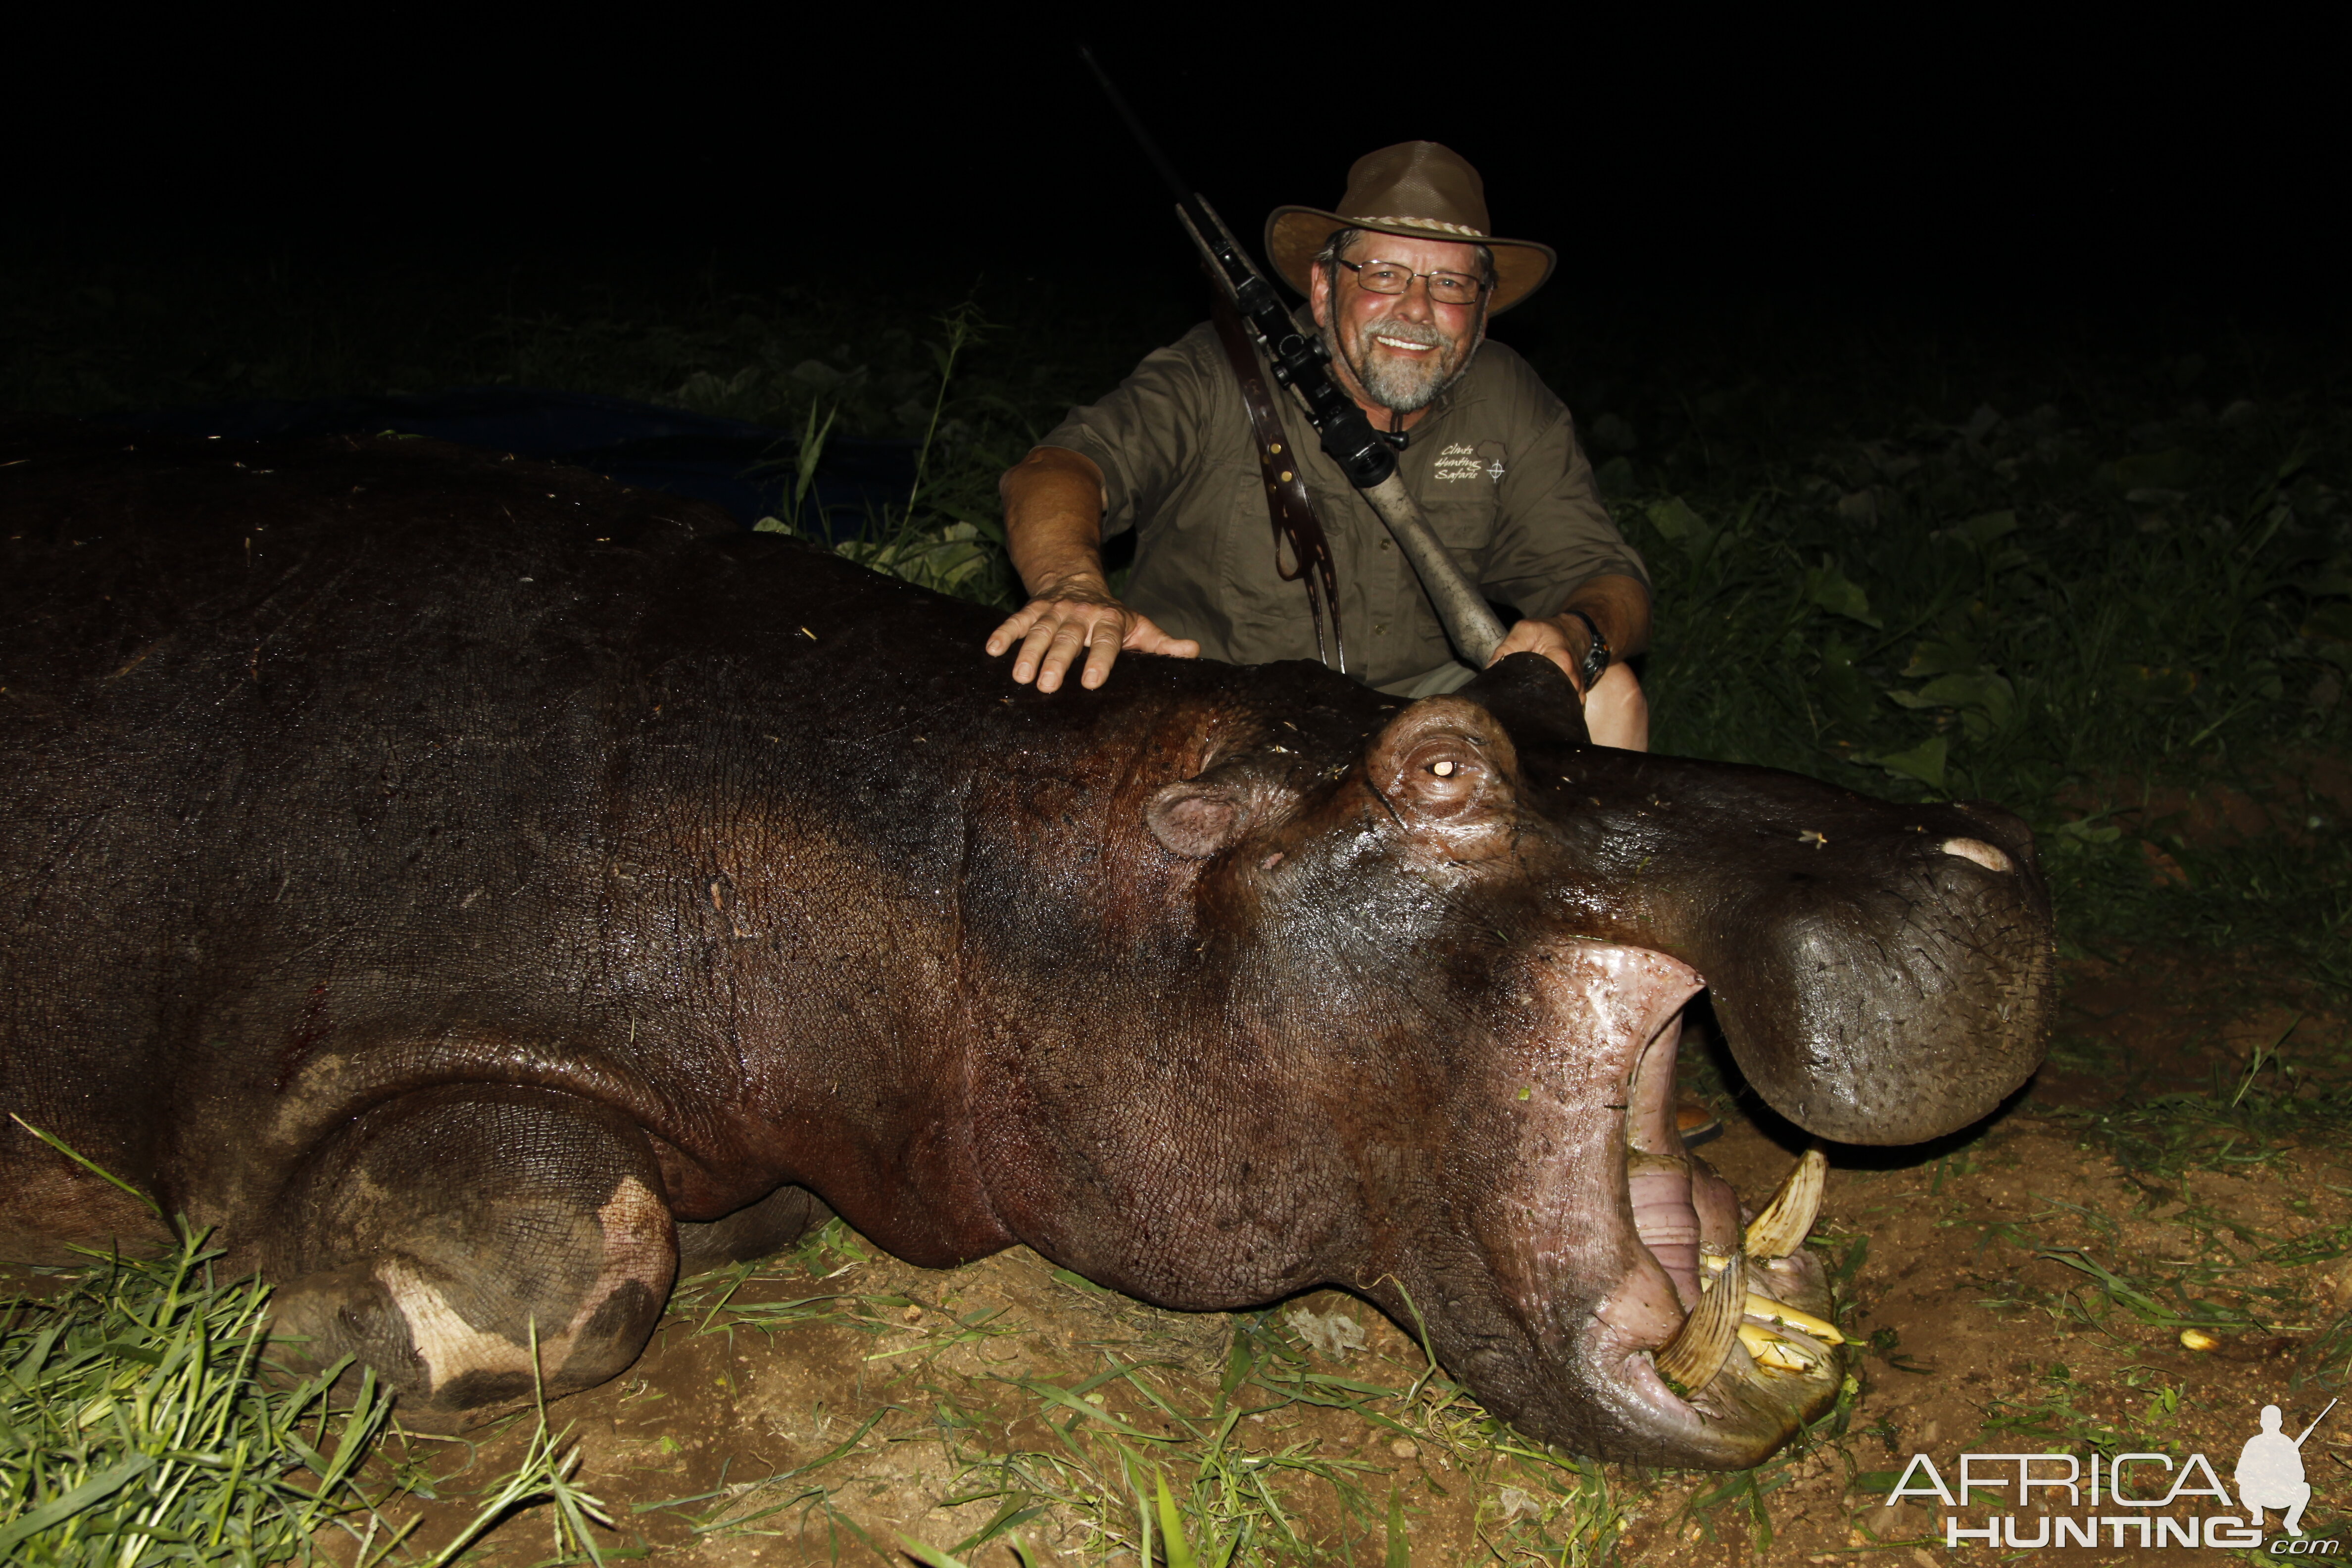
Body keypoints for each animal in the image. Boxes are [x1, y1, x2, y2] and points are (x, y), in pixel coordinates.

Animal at [0, 421, 2060, 1476]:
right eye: (1443, 765)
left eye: (1550, 695)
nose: (1972, 845)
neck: (967, 851)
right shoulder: (335, 1044)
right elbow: (550, 1270)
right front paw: (254, 1337)